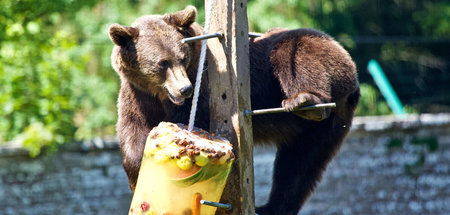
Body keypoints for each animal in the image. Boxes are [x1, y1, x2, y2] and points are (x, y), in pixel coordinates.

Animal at [108, 5, 358, 215]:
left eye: (182, 57)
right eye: (162, 63)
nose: (185, 89)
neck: (159, 94)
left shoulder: (202, 85)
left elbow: (194, 119)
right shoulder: (137, 96)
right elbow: (132, 132)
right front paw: (137, 172)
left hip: (315, 61)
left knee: (292, 50)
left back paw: (305, 101)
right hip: (319, 131)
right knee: (299, 167)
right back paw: (270, 208)